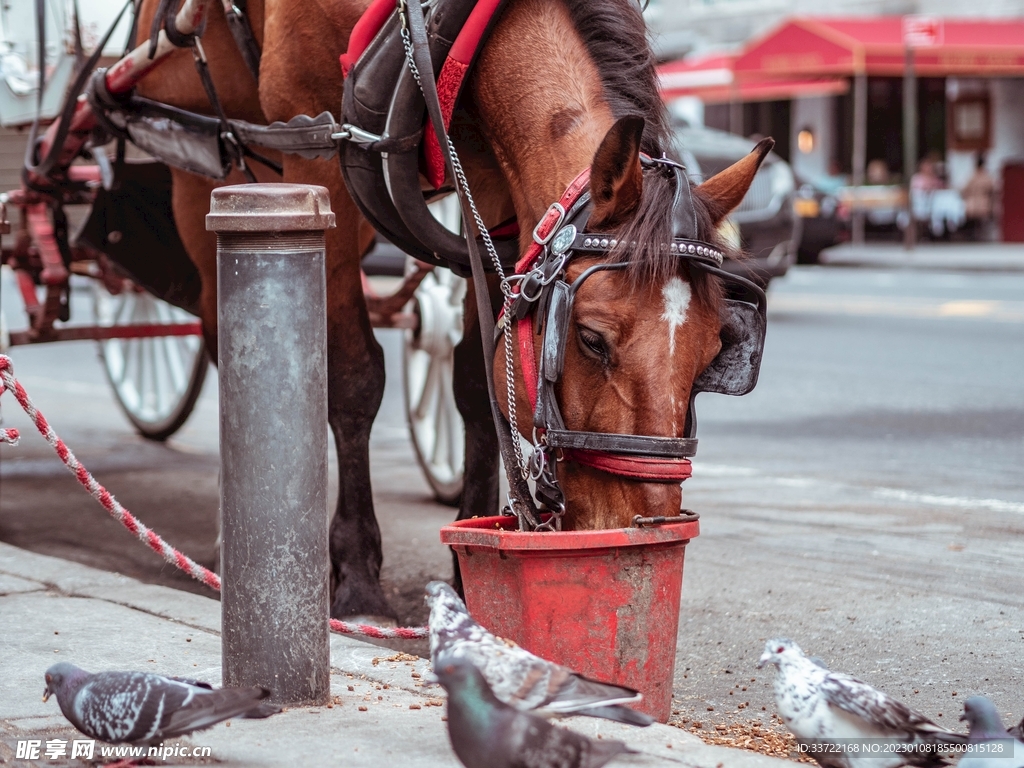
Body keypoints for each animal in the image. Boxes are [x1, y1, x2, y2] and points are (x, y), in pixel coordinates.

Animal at [131, 0, 769, 622]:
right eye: (590, 338)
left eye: (717, 349)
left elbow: (482, 382)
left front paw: (466, 577)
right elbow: (354, 378)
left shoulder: (501, 208)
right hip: (215, 162)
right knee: (224, 325)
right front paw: (358, 580)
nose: (647, 527)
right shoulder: (316, 154)